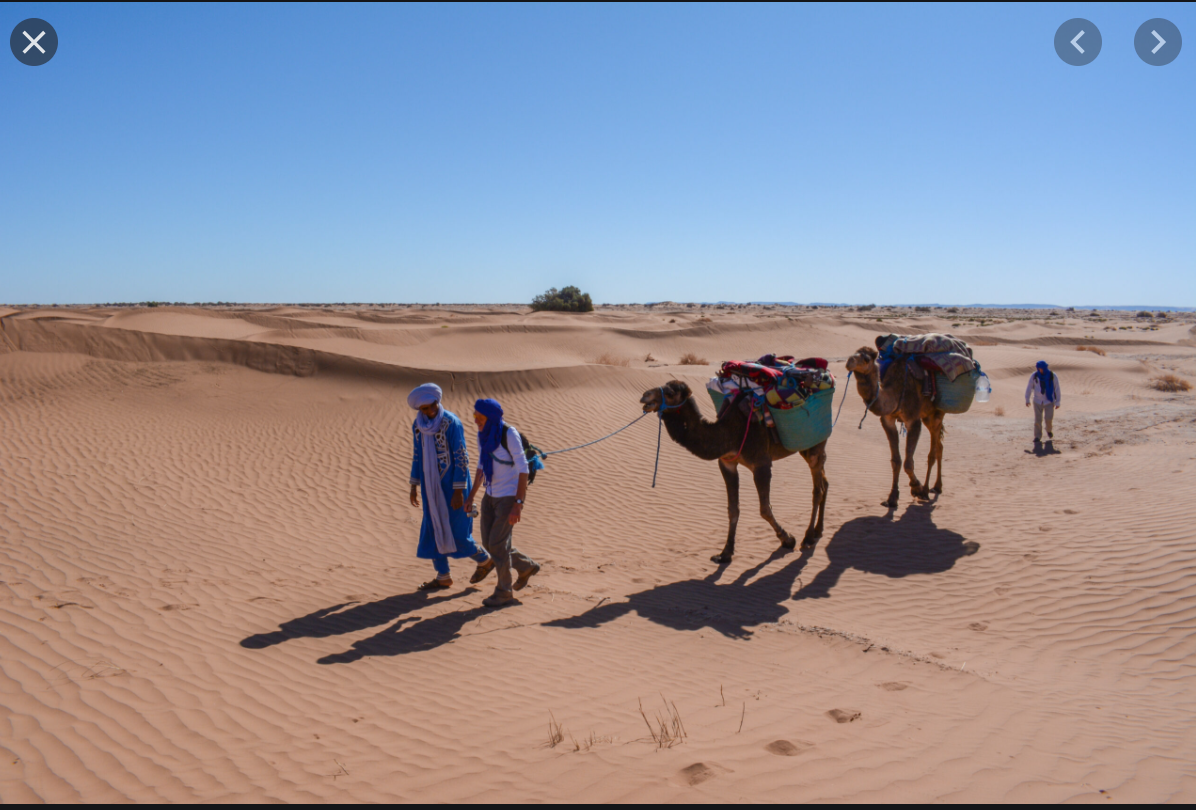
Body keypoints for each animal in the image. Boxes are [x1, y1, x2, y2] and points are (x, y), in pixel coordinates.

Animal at [641, 380, 827, 562]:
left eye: (671, 393)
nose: (645, 396)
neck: (729, 434)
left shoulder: (761, 464)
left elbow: (764, 509)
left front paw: (787, 539)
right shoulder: (727, 463)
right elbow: (732, 509)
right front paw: (725, 553)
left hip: (815, 444)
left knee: (817, 489)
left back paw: (808, 537)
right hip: (807, 448)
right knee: (824, 483)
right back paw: (818, 531)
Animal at [846, 339, 947, 504]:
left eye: (866, 359)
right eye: (853, 353)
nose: (849, 362)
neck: (896, 391)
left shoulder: (913, 421)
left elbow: (908, 463)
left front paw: (917, 488)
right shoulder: (887, 420)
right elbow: (896, 461)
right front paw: (892, 497)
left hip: (937, 413)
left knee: (934, 449)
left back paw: (929, 489)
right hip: (927, 415)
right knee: (939, 445)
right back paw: (935, 487)